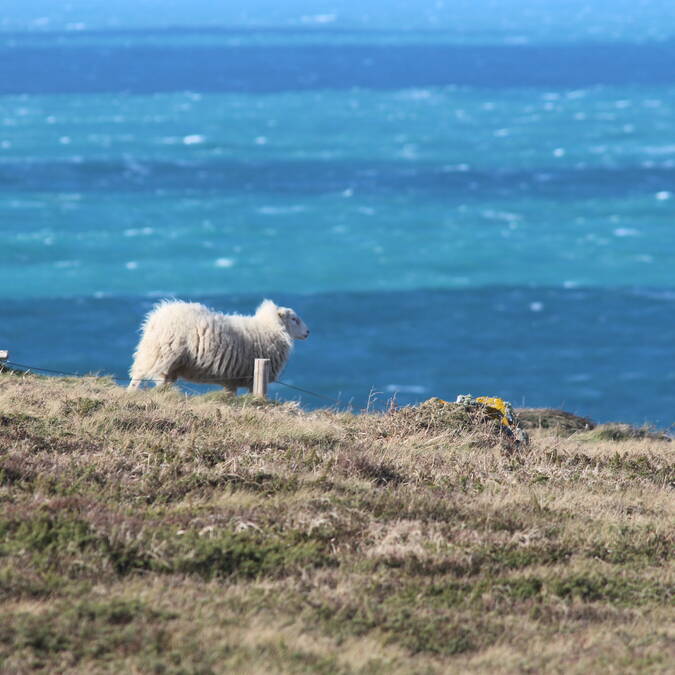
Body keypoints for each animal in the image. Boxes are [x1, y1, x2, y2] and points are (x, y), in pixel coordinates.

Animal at [128, 300, 310, 394]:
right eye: (294, 319)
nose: (308, 332)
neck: (269, 328)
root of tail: (155, 318)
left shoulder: (232, 378)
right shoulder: (252, 378)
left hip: (165, 359)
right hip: (162, 353)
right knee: (140, 376)